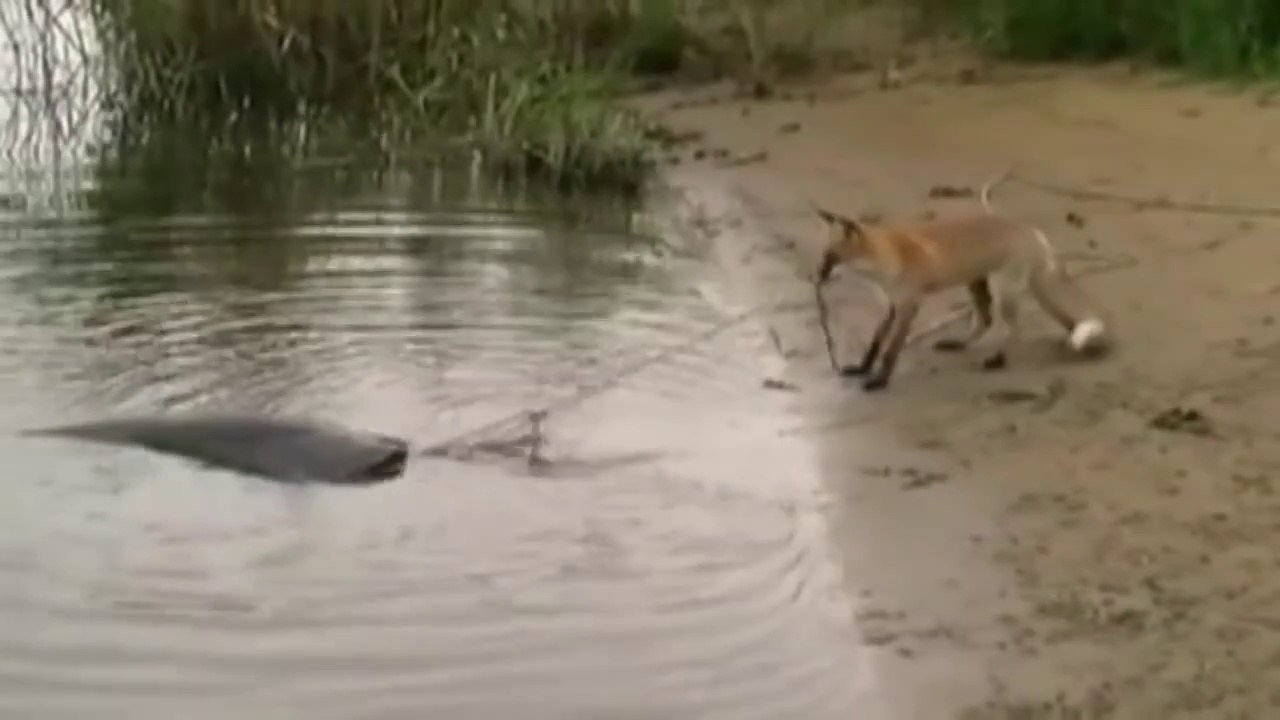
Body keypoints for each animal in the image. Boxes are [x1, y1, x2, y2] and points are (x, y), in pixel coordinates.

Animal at [813, 170, 1110, 392]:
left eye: (833, 258)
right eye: (825, 256)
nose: (818, 276)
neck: (889, 260)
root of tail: (1034, 232)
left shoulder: (910, 304)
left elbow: (891, 350)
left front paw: (880, 380)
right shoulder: (893, 304)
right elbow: (875, 343)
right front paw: (863, 368)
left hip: (1004, 292)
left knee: (1013, 330)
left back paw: (999, 360)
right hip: (976, 284)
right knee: (986, 320)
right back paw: (960, 344)